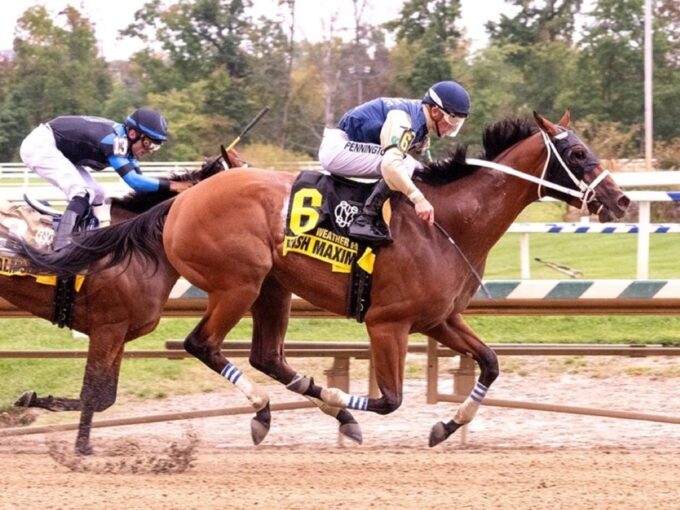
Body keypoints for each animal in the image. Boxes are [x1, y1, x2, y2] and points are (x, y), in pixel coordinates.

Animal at [14, 111, 632, 446]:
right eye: (579, 151)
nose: (622, 200)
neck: (447, 221)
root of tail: (180, 201)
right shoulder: (388, 324)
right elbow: (388, 401)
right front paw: (346, 408)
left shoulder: (439, 319)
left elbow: (491, 364)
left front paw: (446, 426)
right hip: (239, 283)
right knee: (203, 344)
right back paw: (266, 412)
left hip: (273, 288)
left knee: (264, 355)